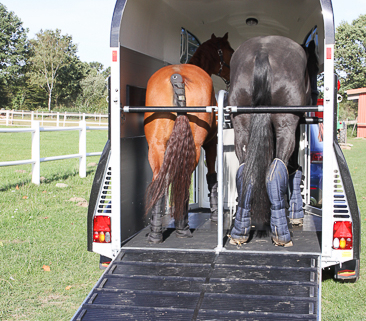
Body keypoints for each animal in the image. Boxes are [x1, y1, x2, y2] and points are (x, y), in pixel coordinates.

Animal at [144, 33, 233, 242]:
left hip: (156, 146)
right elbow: (212, 177)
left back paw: (155, 233)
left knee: (160, 180)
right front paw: (215, 215)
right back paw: (182, 227)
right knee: (182, 180)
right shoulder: (210, 144)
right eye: (231, 51)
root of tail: (177, 77)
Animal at [229, 35, 318, 245]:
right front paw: (295, 213)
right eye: (316, 67)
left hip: (241, 123)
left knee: (245, 172)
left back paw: (240, 232)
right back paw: (281, 234)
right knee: (276, 170)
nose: (316, 95)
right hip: (286, 123)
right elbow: (293, 168)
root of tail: (263, 51)